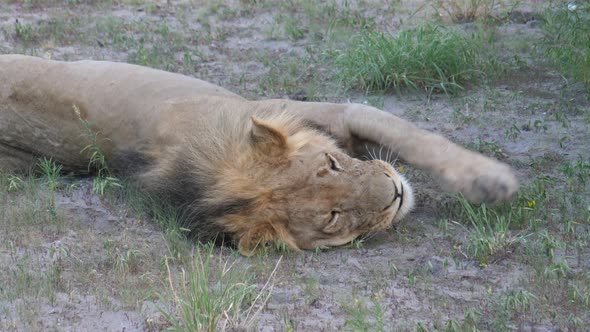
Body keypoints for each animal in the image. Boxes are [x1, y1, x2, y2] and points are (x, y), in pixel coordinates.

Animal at [0, 55, 520, 256]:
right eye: (333, 217)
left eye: (332, 165)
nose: (394, 192)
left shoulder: (332, 112)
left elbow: (411, 135)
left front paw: (490, 180)